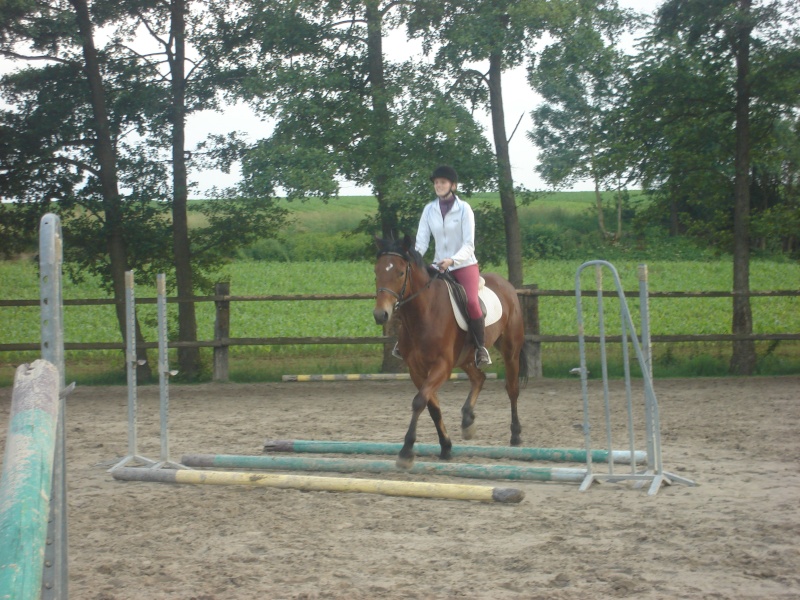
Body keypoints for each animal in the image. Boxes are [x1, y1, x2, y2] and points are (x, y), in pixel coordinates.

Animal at [372, 234, 528, 468]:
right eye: (377, 271)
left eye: (400, 273)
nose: (380, 314)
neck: (424, 313)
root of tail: (506, 285)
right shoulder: (416, 370)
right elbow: (432, 407)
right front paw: (446, 447)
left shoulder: (442, 366)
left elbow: (419, 401)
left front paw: (406, 451)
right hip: (466, 358)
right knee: (479, 378)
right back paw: (467, 420)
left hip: (510, 350)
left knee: (512, 389)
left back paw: (516, 434)